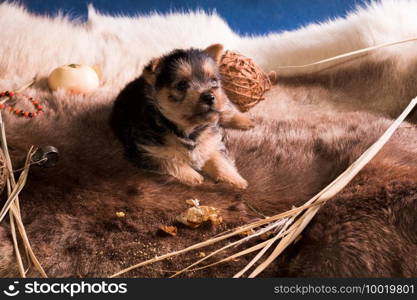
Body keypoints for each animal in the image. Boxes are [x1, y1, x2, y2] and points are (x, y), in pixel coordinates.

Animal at [110, 43, 252, 189]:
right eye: (182, 85)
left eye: (213, 81)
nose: (209, 96)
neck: (189, 130)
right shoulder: (144, 151)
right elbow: (166, 160)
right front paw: (192, 175)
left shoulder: (213, 142)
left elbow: (219, 159)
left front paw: (235, 179)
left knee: (225, 109)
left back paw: (244, 121)